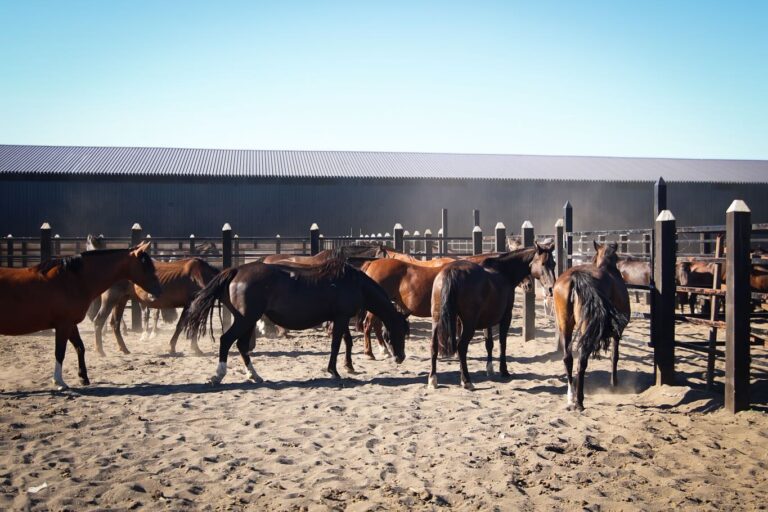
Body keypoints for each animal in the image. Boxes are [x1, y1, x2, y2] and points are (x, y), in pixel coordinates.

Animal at [0, 242, 160, 389]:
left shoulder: (71, 324)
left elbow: (80, 347)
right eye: (146, 266)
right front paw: (59, 381)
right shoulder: (63, 325)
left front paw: (83, 377)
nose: (158, 290)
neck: (71, 279)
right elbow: (60, 352)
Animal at [183, 256, 409, 385]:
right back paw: (218, 376)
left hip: (247, 320)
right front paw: (334, 371)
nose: (400, 357)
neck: (354, 282)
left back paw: (254, 376)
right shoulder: (341, 318)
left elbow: (346, 341)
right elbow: (336, 344)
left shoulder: (340, 318)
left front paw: (348, 366)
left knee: (241, 345)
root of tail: (237, 270)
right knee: (227, 341)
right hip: (246, 320)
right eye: (398, 332)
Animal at [428, 243, 557, 390]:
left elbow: (489, 343)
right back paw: (466, 380)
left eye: (554, 264)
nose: (551, 288)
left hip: (437, 319)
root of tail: (451, 272)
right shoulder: (506, 316)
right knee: (461, 347)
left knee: (434, 346)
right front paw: (504, 370)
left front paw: (490, 369)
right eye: (542, 263)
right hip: (469, 324)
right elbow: (502, 343)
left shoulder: (487, 320)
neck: (503, 272)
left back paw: (433, 379)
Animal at [552, 241, 630, 411]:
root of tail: (575, 277)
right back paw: (579, 401)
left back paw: (571, 397)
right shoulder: (617, 331)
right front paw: (614, 383)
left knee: (568, 358)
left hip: (564, 325)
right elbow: (615, 356)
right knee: (581, 361)